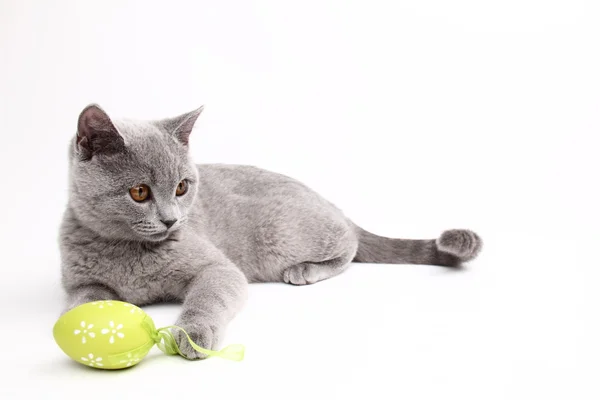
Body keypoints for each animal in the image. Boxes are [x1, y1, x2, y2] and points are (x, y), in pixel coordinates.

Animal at [59, 104, 482, 360]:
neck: (132, 252)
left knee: (349, 242)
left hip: (280, 235)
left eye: (181, 187)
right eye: (139, 192)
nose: (171, 221)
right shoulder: (80, 282)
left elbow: (207, 297)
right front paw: (90, 329)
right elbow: (85, 302)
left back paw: (305, 270)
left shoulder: (218, 268)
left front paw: (192, 334)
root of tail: (329, 201)